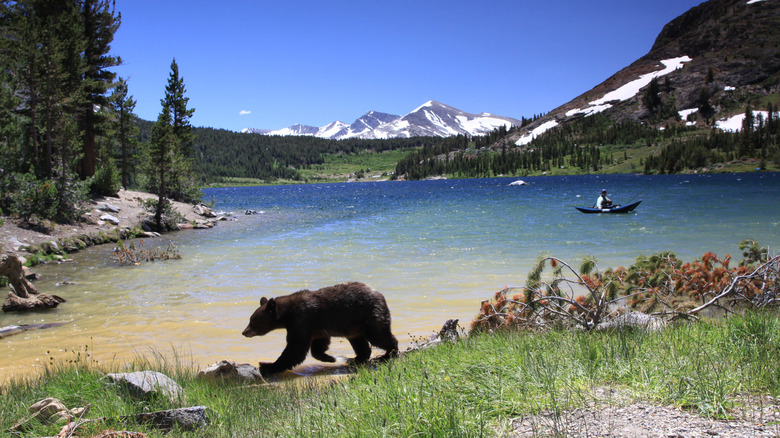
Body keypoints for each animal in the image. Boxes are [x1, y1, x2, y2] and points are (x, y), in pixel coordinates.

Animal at [242, 282, 399, 375]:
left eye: (253, 321)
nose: (244, 332)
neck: (287, 314)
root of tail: (379, 294)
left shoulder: (302, 321)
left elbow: (295, 348)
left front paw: (268, 365)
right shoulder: (316, 327)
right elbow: (318, 345)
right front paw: (331, 357)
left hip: (370, 315)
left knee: (379, 335)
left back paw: (387, 354)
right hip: (354, 326)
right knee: (360, 342)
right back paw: (356, 359)